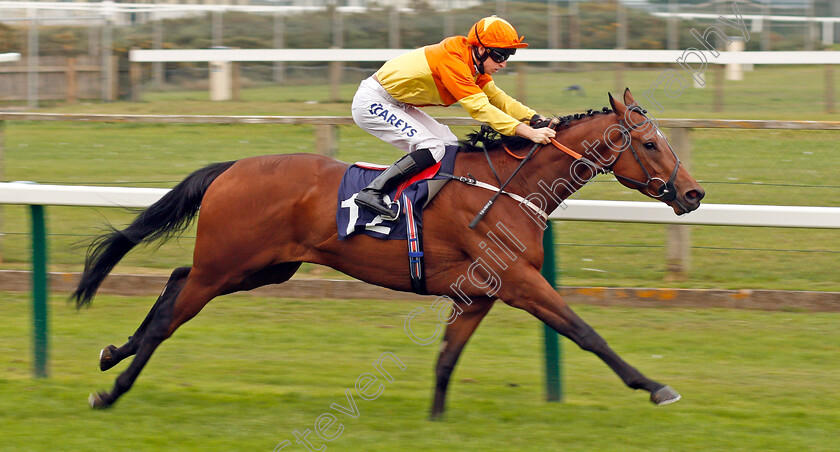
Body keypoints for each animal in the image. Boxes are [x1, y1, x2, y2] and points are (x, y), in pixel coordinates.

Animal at [72, 90, 704, 418]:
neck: (508, 187)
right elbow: (585, 331)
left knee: (177, 278)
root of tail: (232, 167)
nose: (694, 194)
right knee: (172, 315)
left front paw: (436, 419)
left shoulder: (480, 291)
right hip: (229, 264)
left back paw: (112, 352)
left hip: (260, 268)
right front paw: (655, 386)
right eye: (650, 143)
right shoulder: (522, 283)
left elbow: (448, 358)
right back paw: (112, 390)